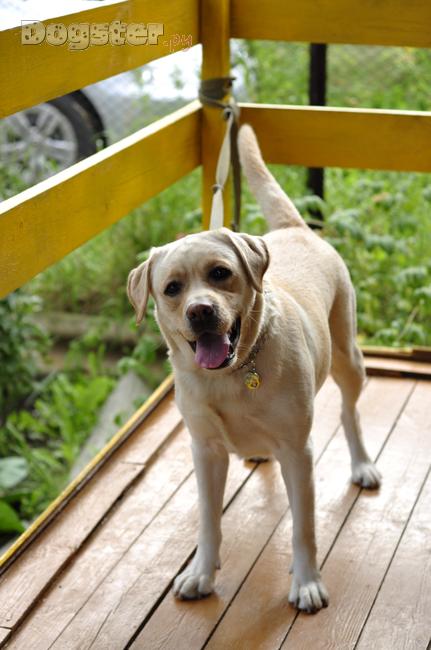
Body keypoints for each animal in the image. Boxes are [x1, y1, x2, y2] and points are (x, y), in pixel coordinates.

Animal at [127, 125, 381, 613]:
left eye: (220, 272)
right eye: (172, 288)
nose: (200, 311)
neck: (229, 376)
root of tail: (294, 228)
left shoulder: (298, 451)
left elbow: (303, 528)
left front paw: (307, 582)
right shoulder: (205, 450)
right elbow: (208, 521)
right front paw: (201, 574)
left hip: (348, 356)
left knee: (350, 411)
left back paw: (362, 464)